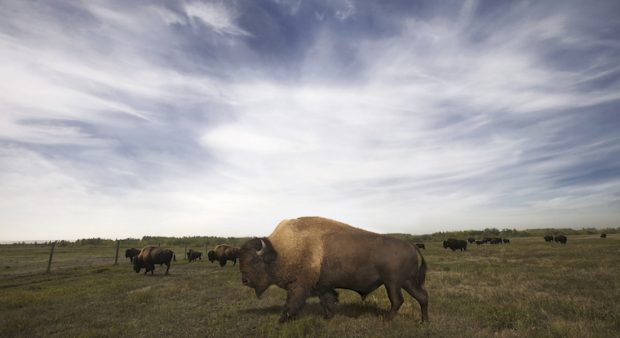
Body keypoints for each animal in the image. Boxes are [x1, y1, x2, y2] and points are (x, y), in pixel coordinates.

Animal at [237, 218, 426, 324]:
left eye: (254, 261)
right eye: (240, 259)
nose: (244, 280)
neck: (280, 251)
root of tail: (412, 245)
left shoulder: (299, 287)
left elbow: (291, 304)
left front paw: (282, 321)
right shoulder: (322, 286)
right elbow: (327, 301)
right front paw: (328, 317)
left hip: (392, 283)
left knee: (397, 300)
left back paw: (386, 320)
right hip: (407, 282)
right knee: (422, 296)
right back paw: (424, 322)